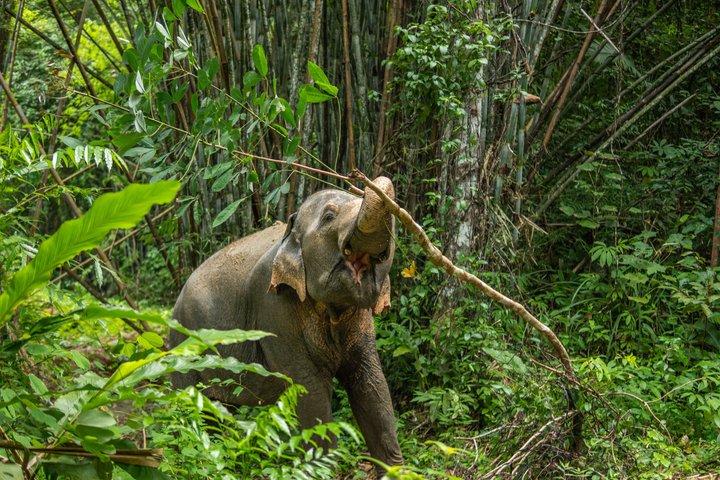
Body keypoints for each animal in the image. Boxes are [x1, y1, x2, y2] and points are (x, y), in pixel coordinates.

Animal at [169, 176, 403, 468]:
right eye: (329, 216)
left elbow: (371, 381)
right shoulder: (272, 307)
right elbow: (309, 387)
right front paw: (321, 468)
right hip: (181, 347)